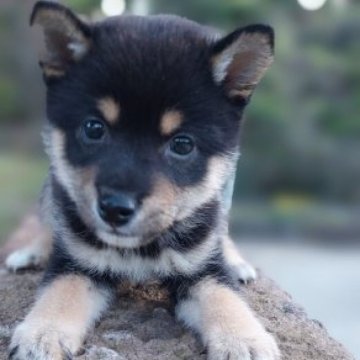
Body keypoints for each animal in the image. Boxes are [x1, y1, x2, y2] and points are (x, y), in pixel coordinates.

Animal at [7, 1, 280, 358]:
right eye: (93, 128)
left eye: (182, 144)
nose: (114, 209)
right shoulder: (79, 261)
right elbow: (60, 291)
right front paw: (42, 333)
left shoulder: (201, 268)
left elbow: (224, 297)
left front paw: (244, 339)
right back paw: (33, 251)